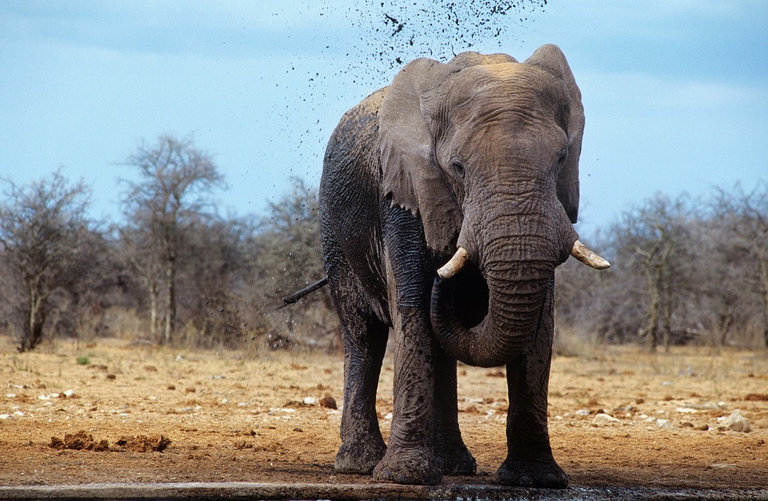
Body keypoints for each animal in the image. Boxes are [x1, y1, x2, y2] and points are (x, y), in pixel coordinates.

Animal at [317, 44, 609, 487]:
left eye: (561, 158)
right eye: (456, 167)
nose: (446, 276)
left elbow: (540, 322)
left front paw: (536, 479)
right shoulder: (404, 193)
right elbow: (413, 308)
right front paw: (405, 477)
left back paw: (453, 466)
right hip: (334, 232)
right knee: (365, 336)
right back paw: (360, 464)